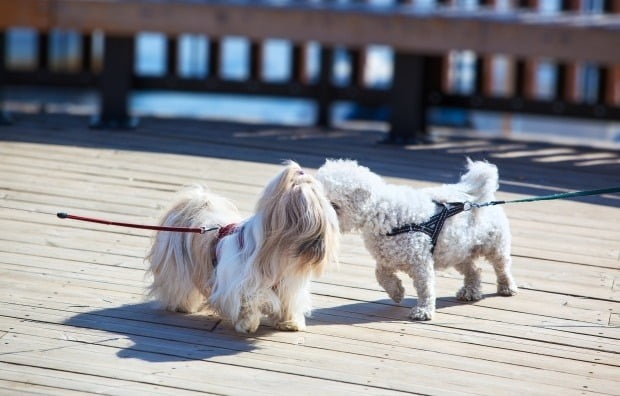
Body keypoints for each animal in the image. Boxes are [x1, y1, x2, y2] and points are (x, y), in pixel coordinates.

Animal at [147, 159, 340, 332]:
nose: (335, 204)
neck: (277, 250)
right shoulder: (240, 285)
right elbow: (251, 301)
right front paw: (248, 324)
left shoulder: (288, 284)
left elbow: (287, 302)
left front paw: (289, 322)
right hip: (178, 269)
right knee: (178, 286)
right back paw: (183, 306)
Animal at [318, 159, 516, 322]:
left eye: (335, 205)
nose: (322, 218)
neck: (382, 212)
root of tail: (478, 197)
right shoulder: (387, 257)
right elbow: (380, 275)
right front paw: (397, 292)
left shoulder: (420, 262)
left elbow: (425, 287)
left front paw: (423, 311)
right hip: (458, 251)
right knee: (474, 271)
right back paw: (470, 292)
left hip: (494, 246)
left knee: (502, 267)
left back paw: (507, 287)